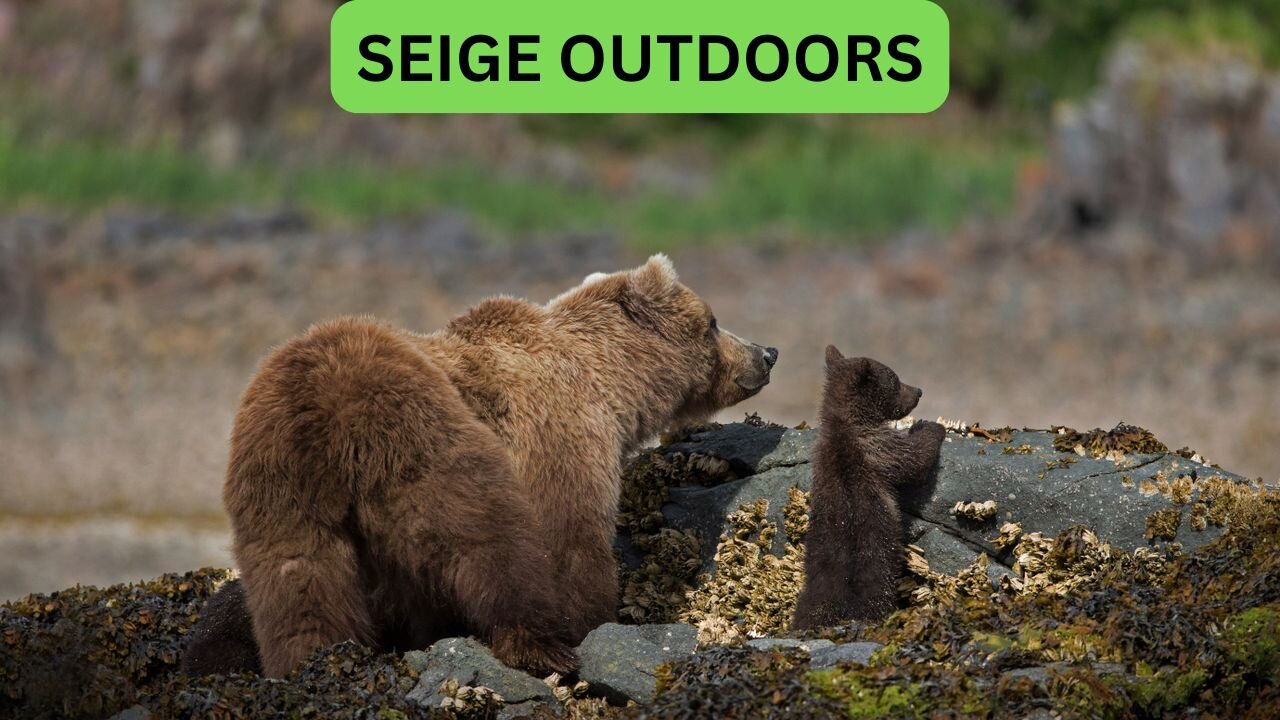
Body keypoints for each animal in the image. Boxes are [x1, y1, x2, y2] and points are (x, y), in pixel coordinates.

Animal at [196, 255, 778, 678]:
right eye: (714, 321)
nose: (767, 353)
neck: (612, 387)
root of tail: (321, 412)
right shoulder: (558, 432)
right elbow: (568, 539)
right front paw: (595, 620)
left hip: (277, 483)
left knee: (297, 583)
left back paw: (310, 662)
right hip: (421, 436)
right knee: (487, 541)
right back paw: (540, 645)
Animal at [791, 346, 944, 629]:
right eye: (895, 380)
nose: (918, 391)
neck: (846, 422)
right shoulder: (877, 447)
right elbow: (913, 459)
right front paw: (930, 426)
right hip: (876, 570)